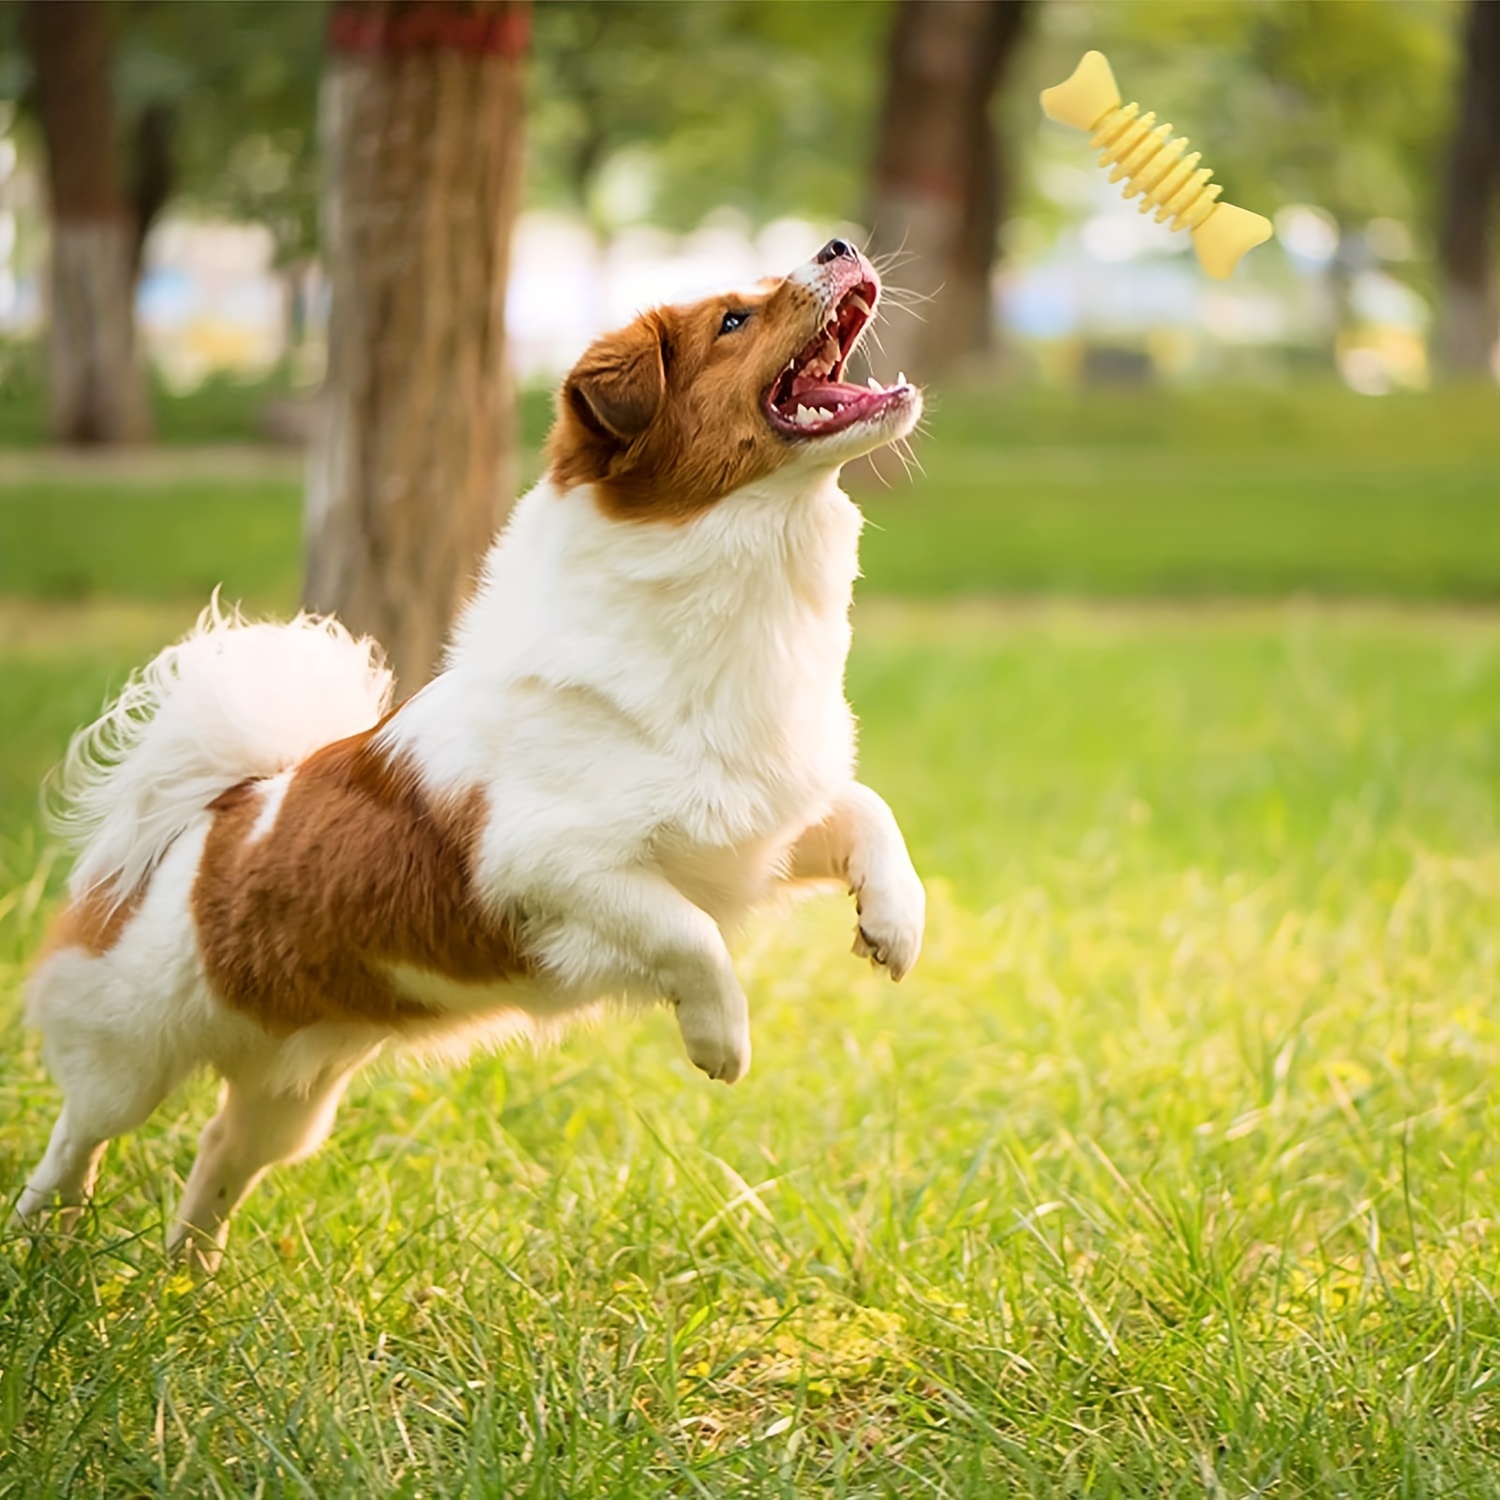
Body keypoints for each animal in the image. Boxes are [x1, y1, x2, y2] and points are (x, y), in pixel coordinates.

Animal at [11, 240, 924, 1272]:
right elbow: (685, 932)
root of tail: (214, 810)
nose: (839, 244)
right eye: (733, 320)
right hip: (129, 1055)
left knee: (220, 1151)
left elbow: (868, 811)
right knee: (79, 1136)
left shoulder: (755, 825)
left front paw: (894, 925)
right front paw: (720, 1040)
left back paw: (188, 1279)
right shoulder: (548, 866)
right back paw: (43, 1239)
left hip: (292, 1094)